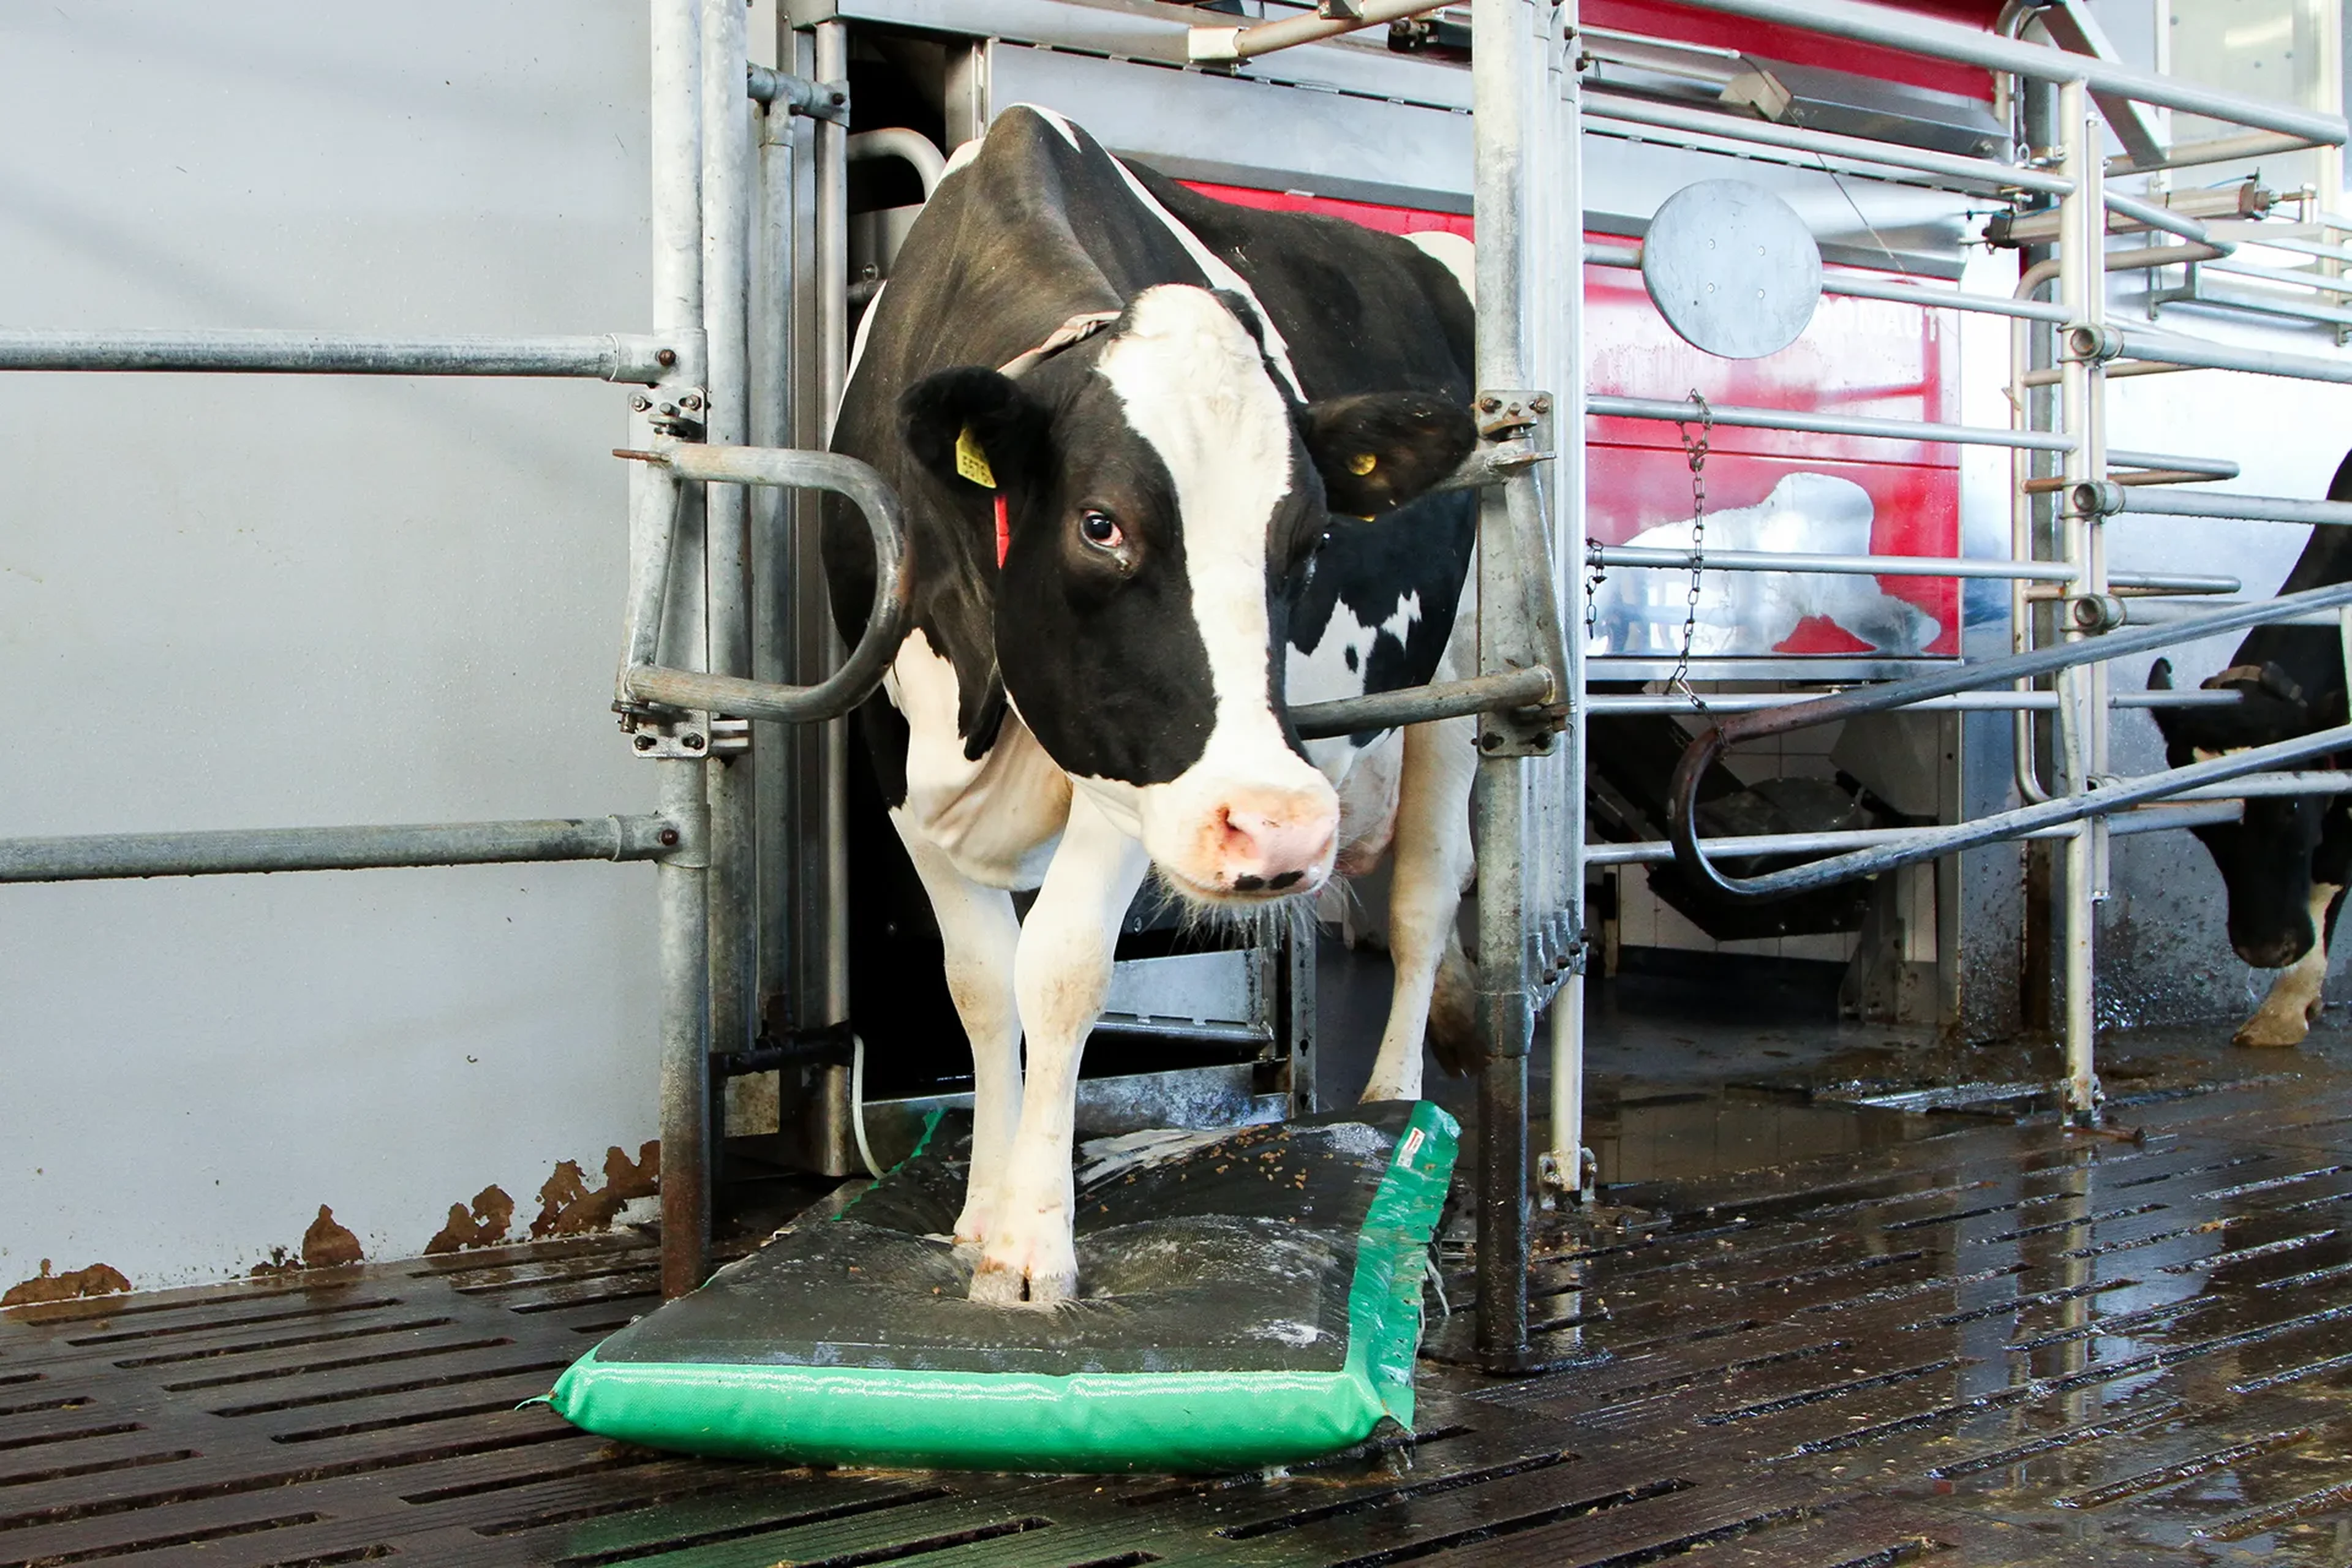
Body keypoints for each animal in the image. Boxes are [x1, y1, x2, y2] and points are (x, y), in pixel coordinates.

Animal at [822, 106, 1485, 1305]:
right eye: (1100, 525)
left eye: (1307, 541)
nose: (1281, 828)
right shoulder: (890, 756)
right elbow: (979, 984)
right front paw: (979, 1215)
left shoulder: (1138, 772)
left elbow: (1062, 970)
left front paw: (1033, 1246)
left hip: (1453, 676)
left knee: (1424, 894)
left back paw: (1391, 1109)